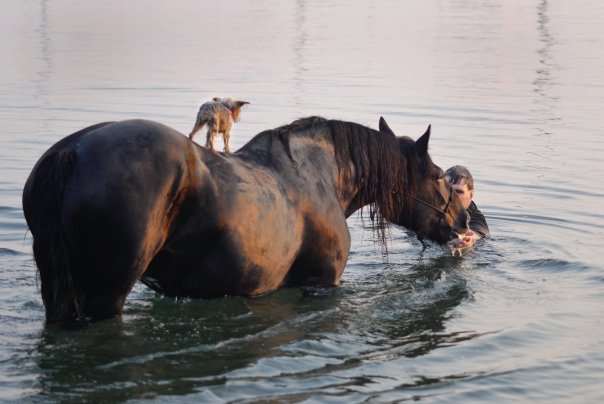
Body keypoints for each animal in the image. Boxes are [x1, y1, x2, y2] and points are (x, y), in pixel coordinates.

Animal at [22, 115, 468, 324]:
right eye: (436, 176)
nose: (463, 222)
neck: (322, 174)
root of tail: (74, 150)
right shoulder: (321, 283)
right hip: (105, 292)